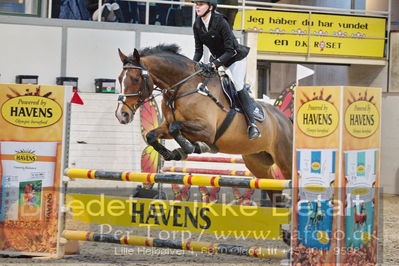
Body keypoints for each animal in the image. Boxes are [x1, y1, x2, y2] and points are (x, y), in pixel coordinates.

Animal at [115, 44, 294, 206]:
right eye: (119, 79)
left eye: (136, 79)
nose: (121, 114)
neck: (182, 88)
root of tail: (286, 120)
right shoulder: (167, 125)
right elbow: (152, 135)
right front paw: (173, 153)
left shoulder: (207, 130)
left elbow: (176, 128)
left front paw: (193, 147)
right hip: (258, 163)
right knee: (274, 192)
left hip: (285, 160)